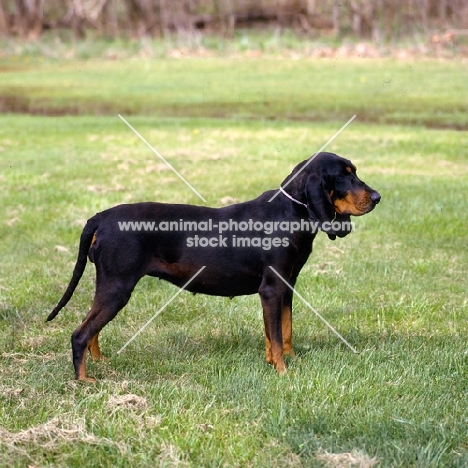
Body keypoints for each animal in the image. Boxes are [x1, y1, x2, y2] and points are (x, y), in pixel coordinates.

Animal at [47, 153, 380, 380]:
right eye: (344, 176)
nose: (377, 197)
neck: (290, 212)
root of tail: (100, 217)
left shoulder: (286, 287)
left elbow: (283, 331)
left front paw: (286, 360)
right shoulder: (272, 289)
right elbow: (275, 333)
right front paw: (283, 371)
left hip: (110, 287)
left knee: (92, 329)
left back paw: (99, 363)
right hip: (118, 287)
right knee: (80, 334)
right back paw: (84, 380)